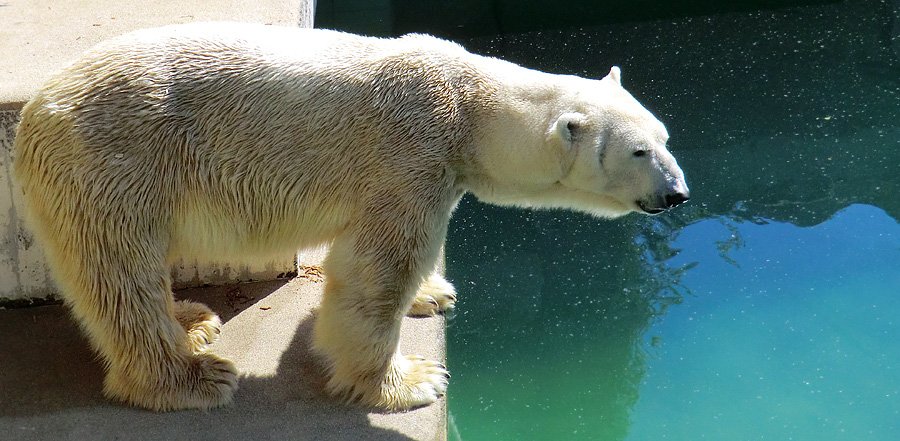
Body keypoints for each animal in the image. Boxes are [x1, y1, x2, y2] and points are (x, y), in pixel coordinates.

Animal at [12, 22, 688, 410]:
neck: (468, 103)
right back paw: (192, 377)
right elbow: (374, 271)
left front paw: (433, 294)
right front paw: (411, 379)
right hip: (115, 161)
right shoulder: (410, 156)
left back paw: (193, 320)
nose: (678, 193)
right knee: (120, 274)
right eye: (638, 152)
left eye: (664, 135)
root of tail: (35, 113)